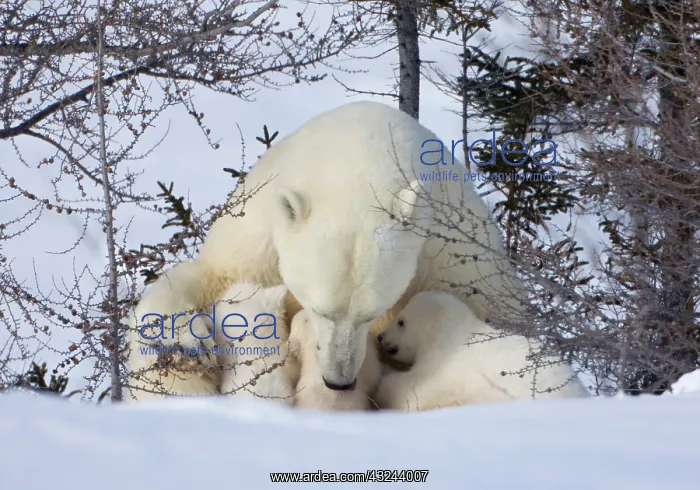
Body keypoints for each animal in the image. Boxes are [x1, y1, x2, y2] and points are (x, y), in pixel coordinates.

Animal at [127, 100, 525, 400]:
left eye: (371, 313)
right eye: (319, 308)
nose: (338, 381)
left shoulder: (451, 254)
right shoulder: (259, 239)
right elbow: (210, 279)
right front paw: (184, 345)